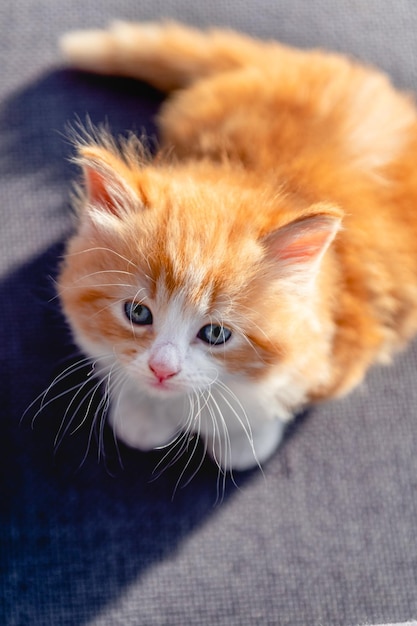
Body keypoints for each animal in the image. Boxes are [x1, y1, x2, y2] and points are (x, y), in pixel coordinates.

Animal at [55, 20, 417, 468]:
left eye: (215, 334)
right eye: (138, 313)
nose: (162, 369)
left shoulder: (346, 347)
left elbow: (270, 410)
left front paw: (244, 441)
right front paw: (142, 411)